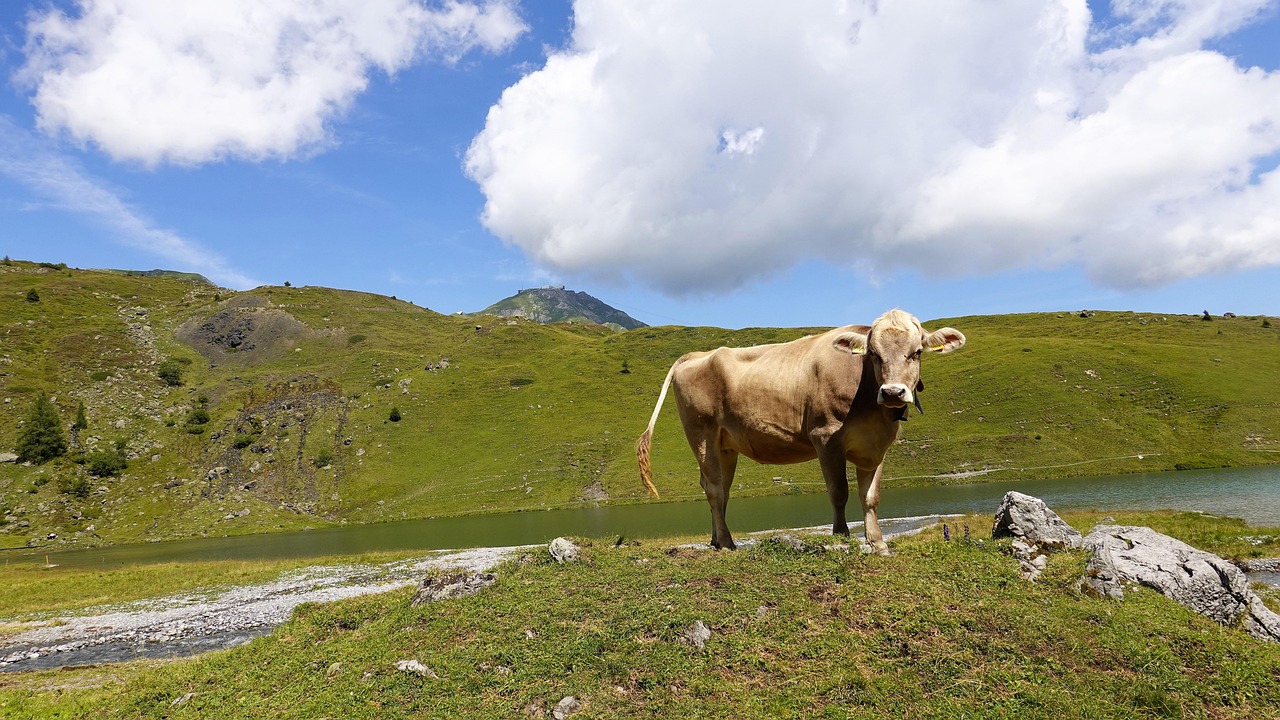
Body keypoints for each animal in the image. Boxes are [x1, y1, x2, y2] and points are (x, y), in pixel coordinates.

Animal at [636, 309, 965, 553]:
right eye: (872, 353)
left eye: (917, 352)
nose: (893, 392)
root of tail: (695, 355)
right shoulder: (826, 436)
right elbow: (839, 491)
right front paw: (842, 536)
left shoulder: (877, 445)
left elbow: (870, 496)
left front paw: (878, 544)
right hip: (701, 433)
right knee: (716, 489)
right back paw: (728, 543)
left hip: (724, 444)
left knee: (715, 486)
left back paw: (717, 539)